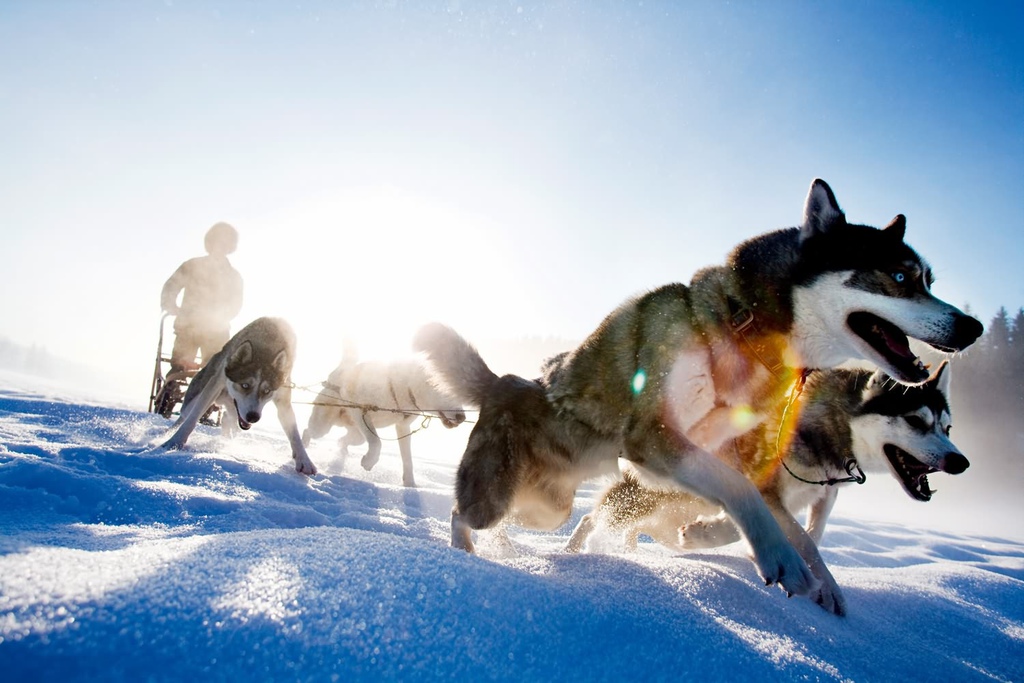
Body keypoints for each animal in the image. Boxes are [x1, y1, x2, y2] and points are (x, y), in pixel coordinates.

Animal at [159, 315, 315, 475]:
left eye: (267, 391)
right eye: (245, 385)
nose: (253, 417)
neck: (266, 346)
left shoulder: (283, 399)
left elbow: (294, 433)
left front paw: (304, 460)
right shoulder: (215, 384)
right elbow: (193, 418)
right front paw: (174, 442)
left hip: (236, 412)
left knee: (227, 419)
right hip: (197, 398)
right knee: (185, 416)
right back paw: (169, 432)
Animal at [301, 356, 466, 489]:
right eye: (448, 393)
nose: (462, 417)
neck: (405, 387)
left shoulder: (403, 427)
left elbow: (408, 460)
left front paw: (410, 485)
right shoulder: (361, 410)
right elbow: (377, 442)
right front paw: (369, 462)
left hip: (358, 436)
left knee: (342, 440)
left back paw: (341, 452)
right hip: (322, 426)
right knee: (308, 431)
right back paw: (304, 446)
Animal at [565, 360, 962, 618]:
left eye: (947, 427)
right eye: (915, 421)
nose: (960, 462)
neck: (829, 426)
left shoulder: (823, 490)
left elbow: (812, 533)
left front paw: (709, 535)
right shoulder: (768, 489)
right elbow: (803, 541)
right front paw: (828, 589)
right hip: (651, 496)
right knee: (594, 517)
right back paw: (573, 550)